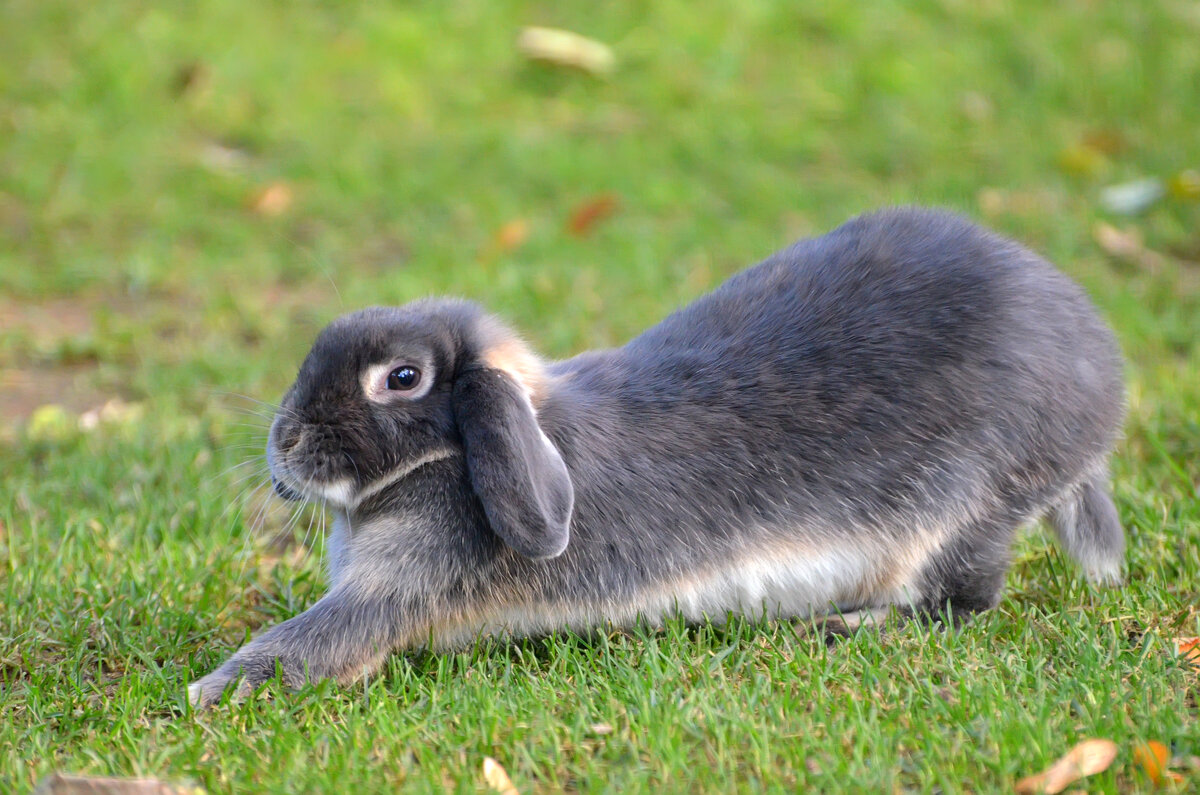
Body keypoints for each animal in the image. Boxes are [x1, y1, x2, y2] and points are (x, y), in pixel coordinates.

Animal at [189, 206, 1123, 710]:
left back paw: (848, 623)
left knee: (964, 598)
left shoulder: (397, 590)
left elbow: (315, 639)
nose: (284, 444)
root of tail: (1097, 373)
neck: (442, 460)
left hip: (968, 510)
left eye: (402, 378)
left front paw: (211, 688)